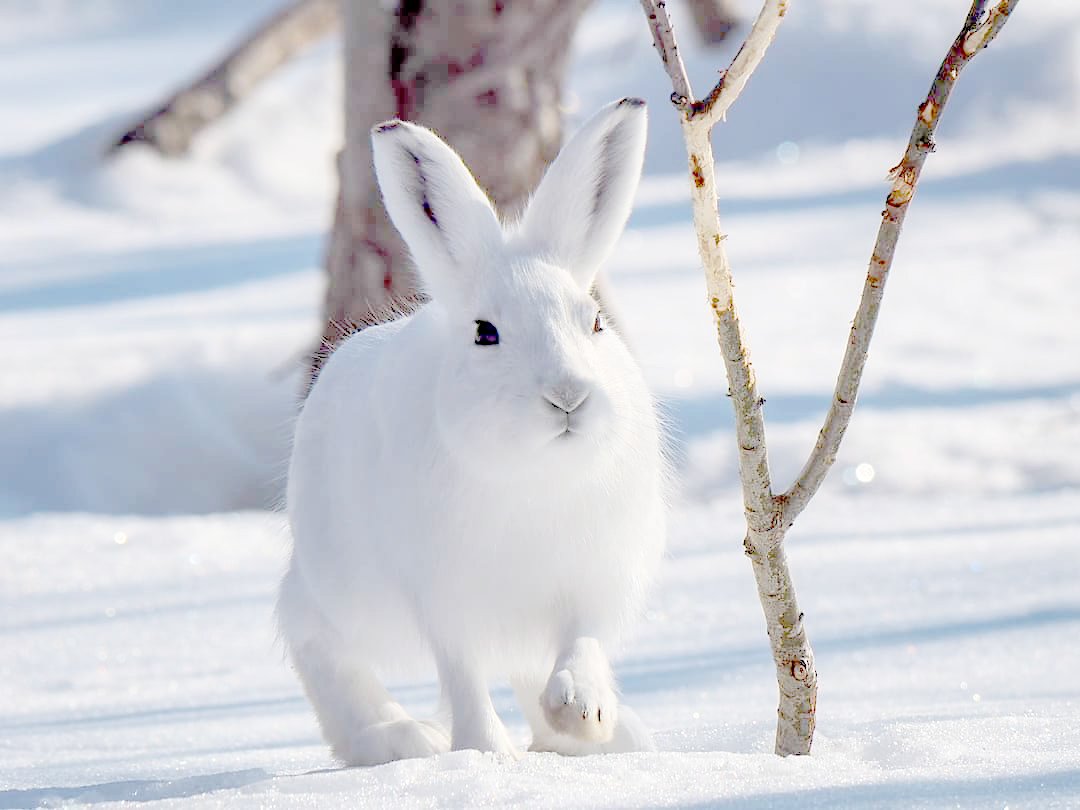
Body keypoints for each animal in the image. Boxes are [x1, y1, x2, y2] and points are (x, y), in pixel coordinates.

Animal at [278, 96, 665, 768]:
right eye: (486, 333)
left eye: (593, 321)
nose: (569, 395)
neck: (535, 472)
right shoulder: (444, 600)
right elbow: (462, 675)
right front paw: (487, 756)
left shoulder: (592, 581)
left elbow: (580, 644)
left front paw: (583, 712)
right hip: (348, 594)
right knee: (310, 634)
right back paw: (398, 738)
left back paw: (604, 737)